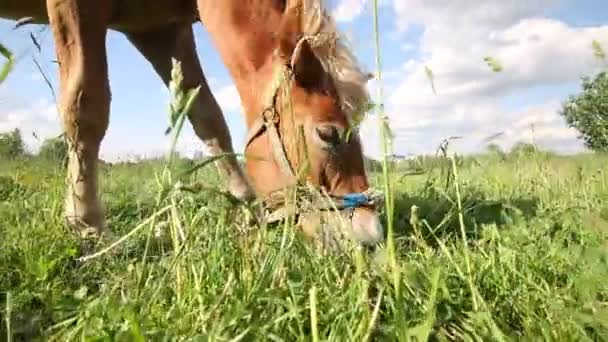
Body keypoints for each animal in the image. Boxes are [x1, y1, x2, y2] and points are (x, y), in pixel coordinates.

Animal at [1, 0, 384, 246]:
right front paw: (86, 223)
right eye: (327, 134)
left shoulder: (159, 27)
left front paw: (247, 205)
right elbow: (86, 104)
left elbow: (207, 116)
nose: (371, 235)